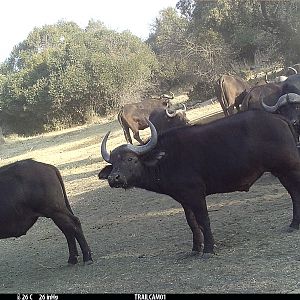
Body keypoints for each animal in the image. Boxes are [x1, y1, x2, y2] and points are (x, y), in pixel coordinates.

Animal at [99, 111, 300, 256]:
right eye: (113, 163)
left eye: (130, 159)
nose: (113, 178)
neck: (166, 158)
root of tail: (279, 118)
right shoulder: (184, 199)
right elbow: (192, 222)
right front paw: (196, 248)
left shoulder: (196, 195)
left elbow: (204, 220)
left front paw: (209, 248)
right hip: (281, 171)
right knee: (293, 192)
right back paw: (294, 224)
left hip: (288, 168)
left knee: (295, 192)